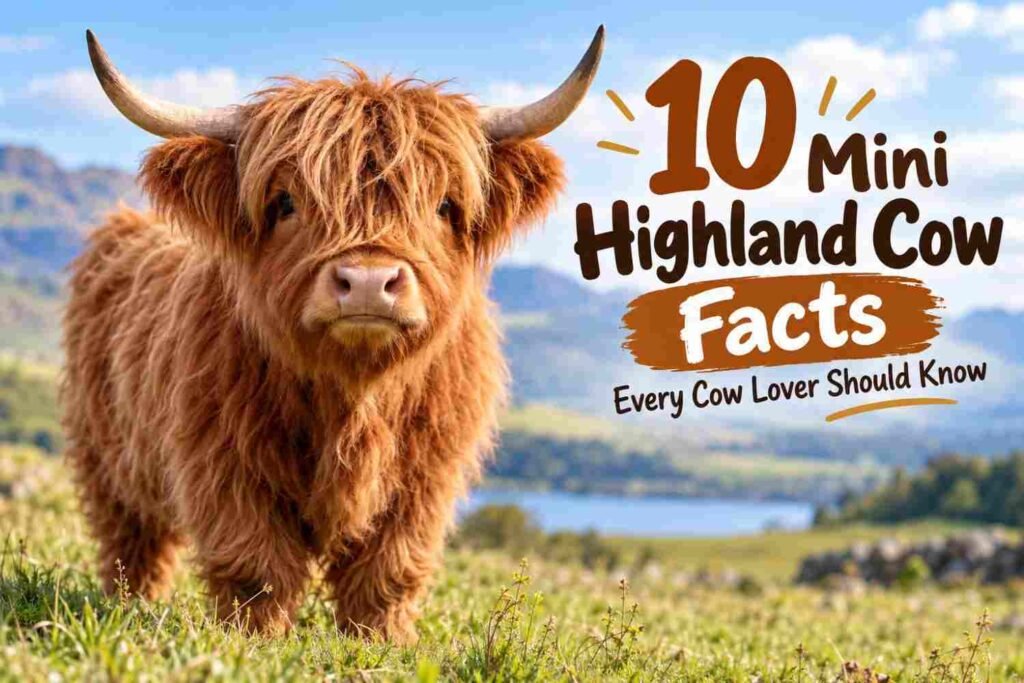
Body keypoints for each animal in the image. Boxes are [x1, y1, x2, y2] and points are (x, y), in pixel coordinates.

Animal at [62, 28, 603, 641]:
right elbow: (256, 566)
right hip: (107, 457)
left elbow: (389, 570)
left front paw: (382, 641)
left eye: (444, 204)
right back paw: (131, 603)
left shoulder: (426, 479)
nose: (368, 283)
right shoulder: (223, 462)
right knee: (133, 543)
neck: (354, 397)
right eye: (286, 202)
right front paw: (256, 638)